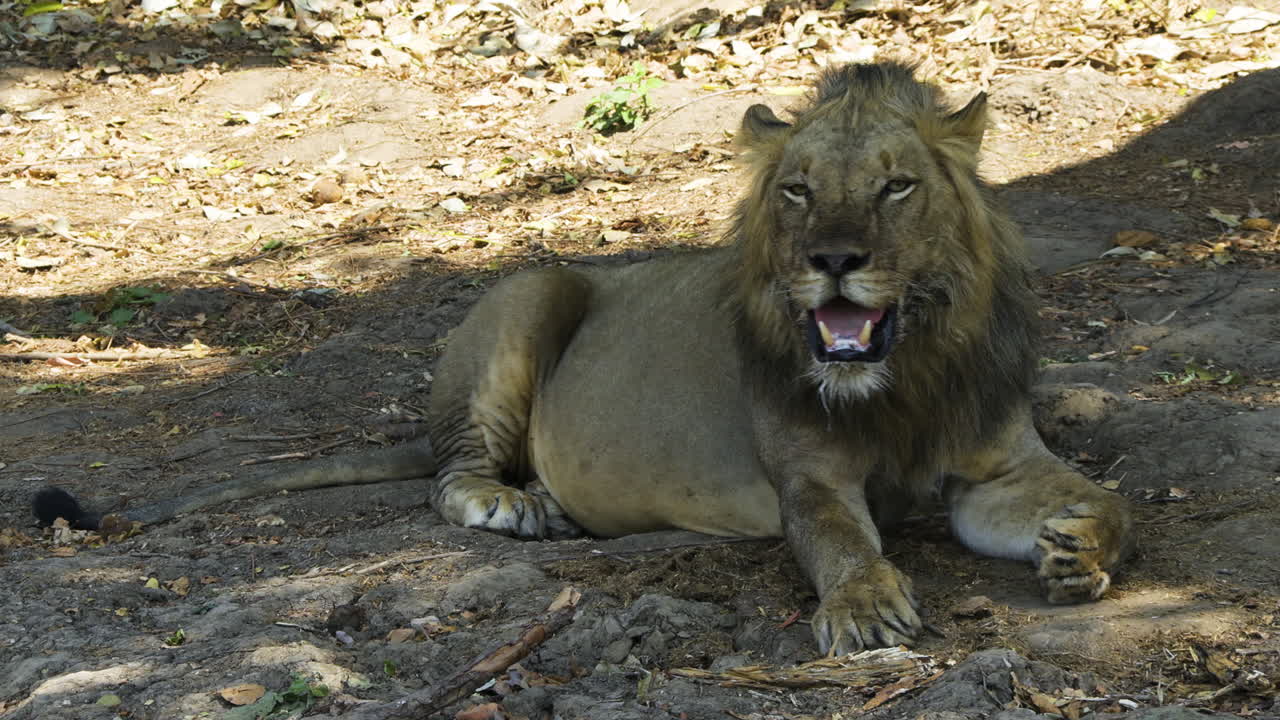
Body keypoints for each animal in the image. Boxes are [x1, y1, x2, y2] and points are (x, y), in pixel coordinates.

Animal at [35, 63, 1134, 656]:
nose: (831, 260)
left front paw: (1079, 549)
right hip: (534, 287)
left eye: (896, 186)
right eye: (796, 191)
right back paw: (517, 507)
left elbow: (1104, 497)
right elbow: (837, 540)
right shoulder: (809, 476)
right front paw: (863, 607)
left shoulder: (998, 468)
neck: (901, 380)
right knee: (448, 471)